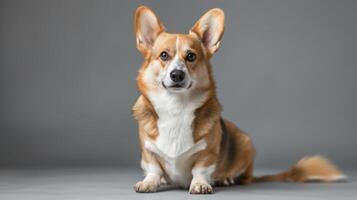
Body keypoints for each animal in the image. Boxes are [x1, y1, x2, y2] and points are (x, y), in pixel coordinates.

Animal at [131, 6, 344, 194]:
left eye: (191, 56)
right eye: (163, 55)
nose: (177, 74)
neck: (175, 106)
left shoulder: (208, 153)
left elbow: (200, 169)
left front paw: (200, 184)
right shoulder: (148, 152)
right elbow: (154, 168)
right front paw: (149, 182)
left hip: (245, 144)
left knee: (244, 177)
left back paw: (225, 179)